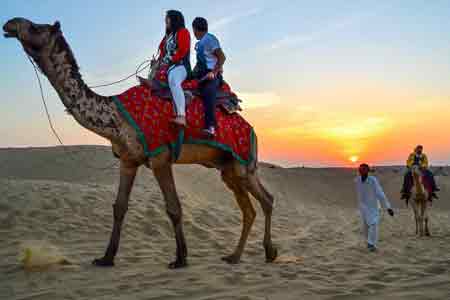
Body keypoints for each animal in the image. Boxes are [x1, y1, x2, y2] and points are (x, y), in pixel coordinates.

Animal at [4, 17, 278, 268]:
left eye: (35, 27)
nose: (9, 24)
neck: (115, 115)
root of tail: (252, 130)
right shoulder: (128, 160)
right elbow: (119, 207)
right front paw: (106, 258)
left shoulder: (160, 157)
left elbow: (174, 207)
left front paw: (180, 259)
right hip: (227, 168)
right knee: (250, 208)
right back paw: (235, 256)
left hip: (242, 163)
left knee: (266, 199)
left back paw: (268, 252)